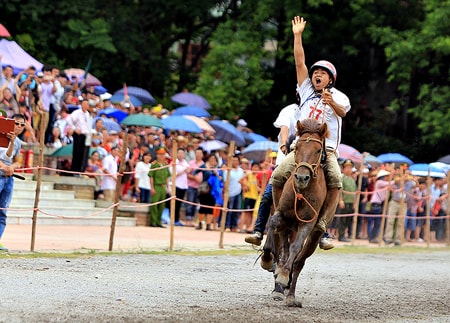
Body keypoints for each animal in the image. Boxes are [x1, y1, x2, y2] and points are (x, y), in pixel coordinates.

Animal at [260, 117, 326, 308]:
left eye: (318, 150)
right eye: (297, 147)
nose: (302, 177)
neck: (302, 193)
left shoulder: (307, 223)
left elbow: (295, 249)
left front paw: (283, 276)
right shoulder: (281, 214)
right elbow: (273, 229)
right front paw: (268, 260)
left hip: (313, 236)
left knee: (298, 261)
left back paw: (290, 294)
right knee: (284, 249)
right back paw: (278, 286)